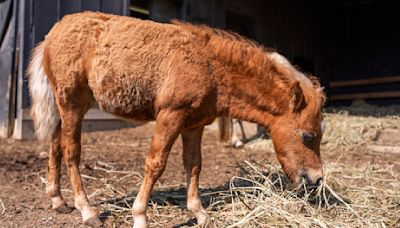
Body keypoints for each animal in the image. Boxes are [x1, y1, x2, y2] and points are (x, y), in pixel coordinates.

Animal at [29, 12, 326, 226]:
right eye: (308, 136)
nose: (316, 180)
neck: (211, 67)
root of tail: (54, 31)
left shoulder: (194, 125)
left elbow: (194, 166)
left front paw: (200, 214)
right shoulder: (170, 115)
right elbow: (155, 164)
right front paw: (140, 216)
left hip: (64, 106)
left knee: (55, 145)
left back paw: (58, 201)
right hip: (73, 104)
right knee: (71, 151)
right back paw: (87, 211)